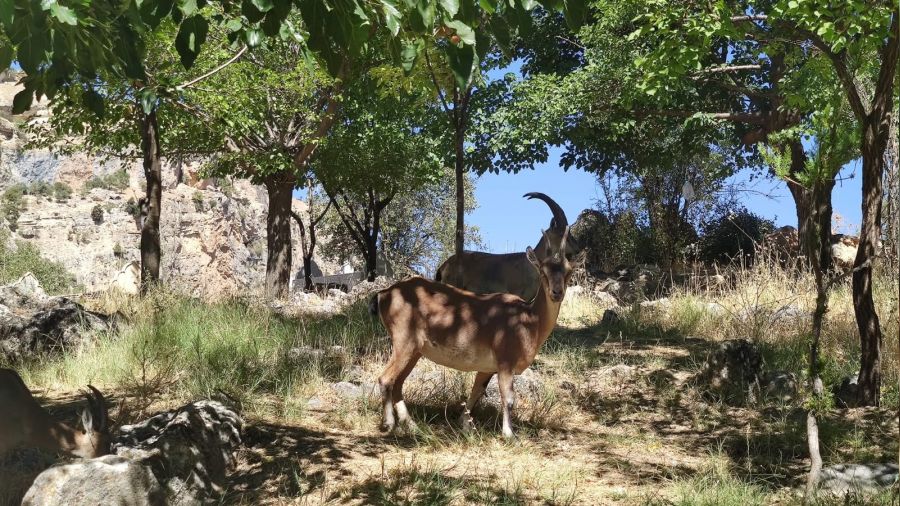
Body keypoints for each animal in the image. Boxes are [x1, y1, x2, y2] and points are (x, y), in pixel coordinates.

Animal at [372, 227, 584, 436]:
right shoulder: (505, 361)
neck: (529, 320)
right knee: (386, 379)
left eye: (569, 271)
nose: (557, 293)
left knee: (398, 384)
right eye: (542, 271)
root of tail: (385, 294)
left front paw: (465, 425)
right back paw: (389, 424)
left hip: (415, 351)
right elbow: (508, 398)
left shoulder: (487, 367)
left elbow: (477, 392)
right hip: (404, 341)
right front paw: (509, 434)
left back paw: (413, 426)